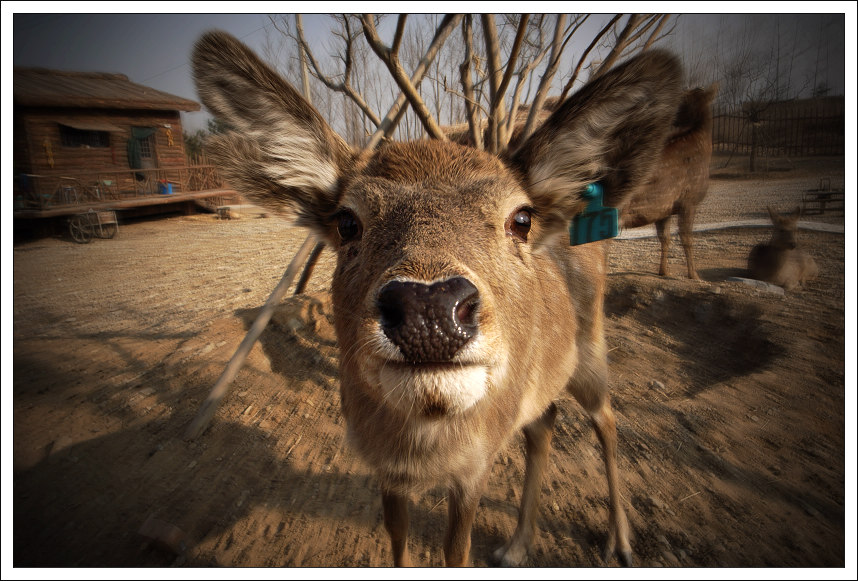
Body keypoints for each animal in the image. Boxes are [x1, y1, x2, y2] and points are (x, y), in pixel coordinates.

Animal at [192, 31, 684, 568]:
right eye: (346, 221)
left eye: (521, 218)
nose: (429, 309)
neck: (424, 450)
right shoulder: (383, 467)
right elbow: (397, 537)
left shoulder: (476, 463)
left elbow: (456, 550)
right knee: (544, 422)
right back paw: (517, 544)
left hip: (592, 349)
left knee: (608, 421)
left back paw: (620, 540)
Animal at [616, 82, 716, 280]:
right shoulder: (689, 199)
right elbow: (686, 238)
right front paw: (694, 274)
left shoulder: (664, 209)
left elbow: (665, 238)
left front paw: (663, 271)